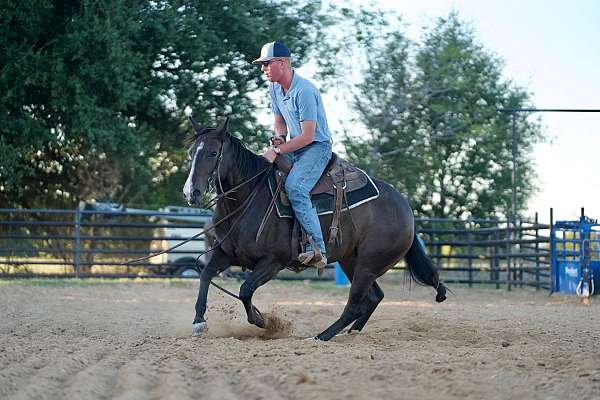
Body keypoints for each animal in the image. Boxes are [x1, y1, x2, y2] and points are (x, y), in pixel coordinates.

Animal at [183, 118, 446, 340]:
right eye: (191, 153)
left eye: (213, 153)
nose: (191, 192)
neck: (248, 198)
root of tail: (405, 209)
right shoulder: (226, 253)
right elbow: (205, 275)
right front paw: (198, 321)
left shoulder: (273, 261)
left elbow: (245, 290)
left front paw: (262, 321)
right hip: (352, 261)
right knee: (374, 297)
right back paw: (352, 333)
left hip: (368, 265)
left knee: (355, 304)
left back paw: (322, 336)